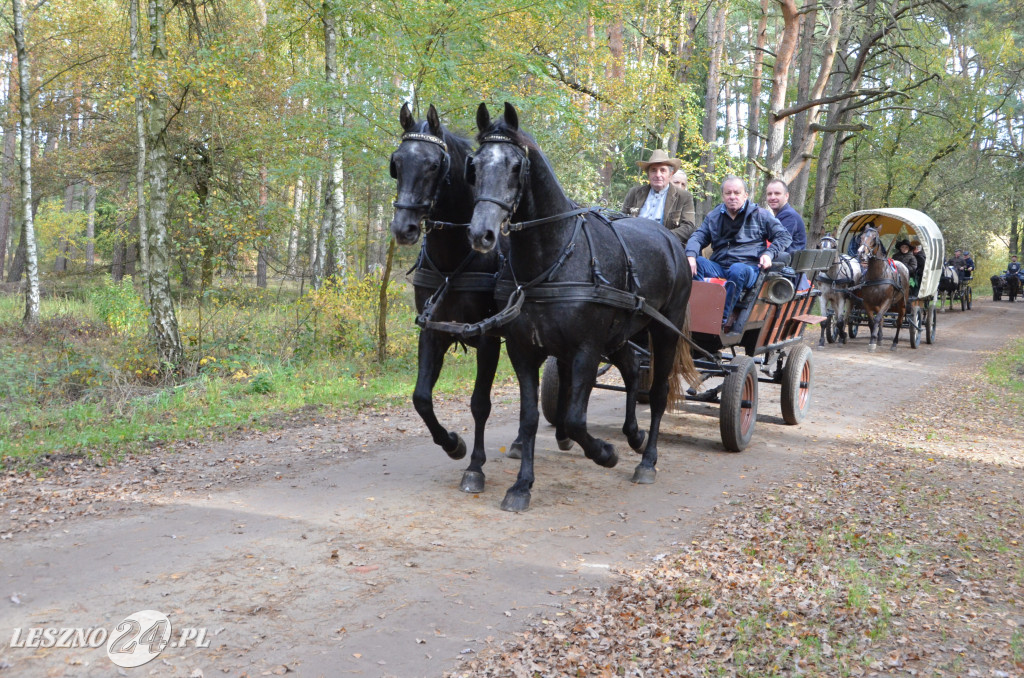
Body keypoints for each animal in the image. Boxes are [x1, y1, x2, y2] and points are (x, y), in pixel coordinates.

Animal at [468, 103, 700, 512]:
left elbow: (576, 417)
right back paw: (633, 435)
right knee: (630, 368)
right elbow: (530, 418)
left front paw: (605, 453)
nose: (483, 234)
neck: (554, 257)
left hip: (663, 329)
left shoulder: (586, 349)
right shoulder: (523, 349)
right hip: (623, 332)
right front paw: (521, 486)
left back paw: (647, 460)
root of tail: (670, 240)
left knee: (657, 393)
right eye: (475, 165)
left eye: (515, 166)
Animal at [851, 228, 909, 356]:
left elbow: (877, 319)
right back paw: (880, 338)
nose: (861, 252)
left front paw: (872, 342)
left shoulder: (887, 301)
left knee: (899, 322)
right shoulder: (867, 302)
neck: (877, 275)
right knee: (881, 319)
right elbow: (872, 321)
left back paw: (894, 343)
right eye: (861, 237)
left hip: (902, 303)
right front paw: (875, 339)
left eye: (874, 238)